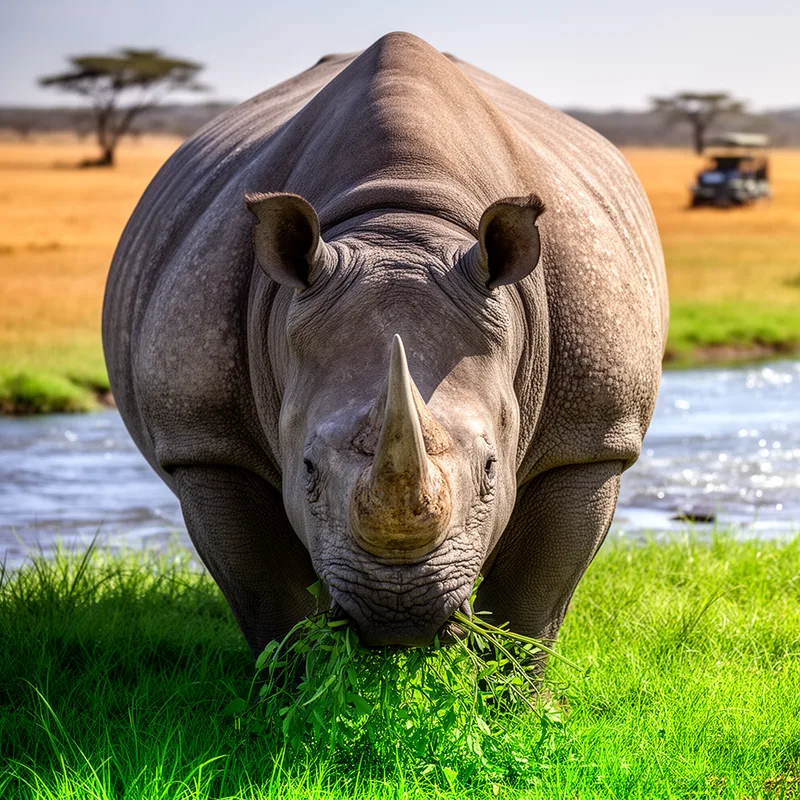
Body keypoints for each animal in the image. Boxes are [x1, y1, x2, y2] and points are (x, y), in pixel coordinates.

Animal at [103, 33, 668, 654]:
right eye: (306, 469)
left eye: (492, 469)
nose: (399, 612)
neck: (400, 221)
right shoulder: (203, 439)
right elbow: (266, 601)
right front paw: (295, 678)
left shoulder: (593, 435)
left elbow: (534, 601)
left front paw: (516, 683)